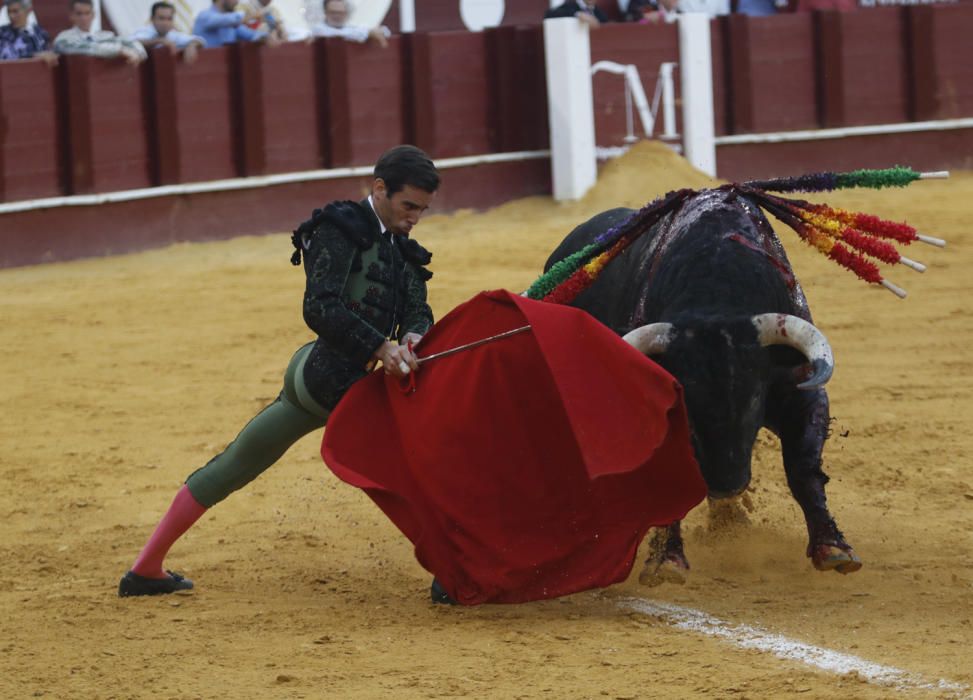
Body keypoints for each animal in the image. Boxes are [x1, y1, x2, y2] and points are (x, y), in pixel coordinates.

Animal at [544, 187, 860, 584]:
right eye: (687, 405)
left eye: (754, 396)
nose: (727, 485)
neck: (716, 295)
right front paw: (666, 560)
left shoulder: (801, 391)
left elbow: (803, 469)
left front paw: (832, 548)